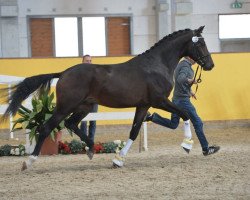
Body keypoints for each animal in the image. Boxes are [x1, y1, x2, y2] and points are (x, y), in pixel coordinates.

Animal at [0, 25, 214, 170]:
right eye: (201, 43)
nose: (210, 65)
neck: (156, 65)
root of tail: (63, 73)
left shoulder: (144, 105)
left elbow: (134, 132)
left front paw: (118, 160)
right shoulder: (159, 101)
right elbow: (185, 114)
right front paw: (187, 145)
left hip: (84, 107)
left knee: (71, 124)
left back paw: (91, 149)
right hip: (65, 107)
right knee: (46, 127)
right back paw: (29, 161)